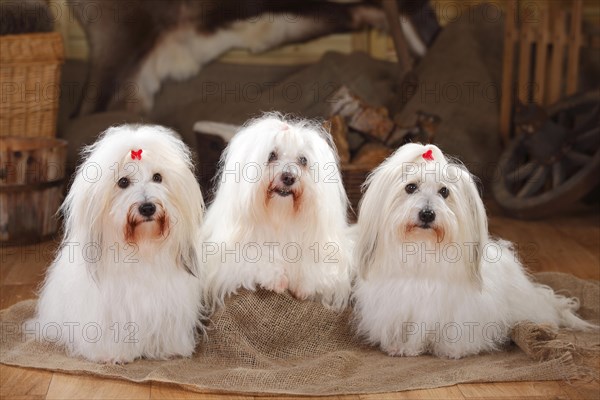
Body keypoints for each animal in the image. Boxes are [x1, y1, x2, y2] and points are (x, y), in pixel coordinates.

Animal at [29, 126, 206, 364]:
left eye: (158, 177)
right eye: (123, 182)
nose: (148, 207)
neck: (142, 247)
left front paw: (169, 349)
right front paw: (112, 354)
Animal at [205, 112, 352, 310]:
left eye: (303, 160)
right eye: (272, 155)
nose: (289, 177)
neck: (280, 217)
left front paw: (304, 283)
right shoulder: (225, 259)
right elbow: (252, 256)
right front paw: (276, 277)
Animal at [354, 144, 592, 360]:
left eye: (444, 191)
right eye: (410, 187)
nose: (427, 214)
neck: (424, 247)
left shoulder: (454, 308)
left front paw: (451, 350)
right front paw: (402, 347)